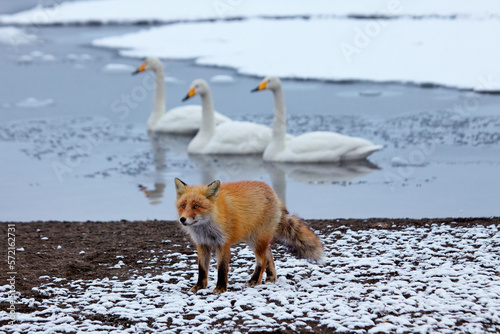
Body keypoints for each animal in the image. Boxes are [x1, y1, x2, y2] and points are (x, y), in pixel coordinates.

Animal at [176, 177, 324, 292]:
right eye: (183, 205)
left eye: (196, 206)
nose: (182, 219)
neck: (206, 227)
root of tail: (273, 193)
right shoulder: (202, 244)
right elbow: (202, 269)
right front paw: (200, 287)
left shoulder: (223, 244)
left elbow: (222, 268)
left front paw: (221, 288)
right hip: (254, 239)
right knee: (269, 253)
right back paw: (270, 277)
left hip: (256, 240)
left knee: (262, 260)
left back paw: (254, 281)